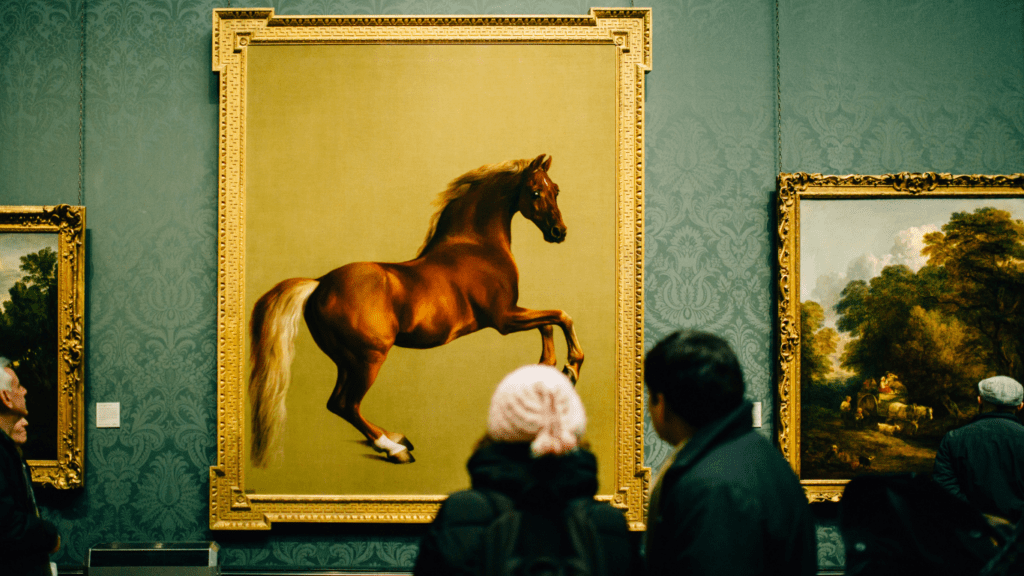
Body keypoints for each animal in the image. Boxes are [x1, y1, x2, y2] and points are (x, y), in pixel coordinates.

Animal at [248, 154, 585, 463]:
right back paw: (394, 448)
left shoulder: (512, 313)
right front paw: (571, 368)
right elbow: (561, 316)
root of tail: (319, 284)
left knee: (337, 404)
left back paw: (395, 438)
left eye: (555, 189)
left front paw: (548, 368)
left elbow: (548, 322)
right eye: (535, 192)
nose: (559, 232)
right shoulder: (504, 318)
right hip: (368, 358)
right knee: (346, 404)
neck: (476, 246)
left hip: (346, 361)